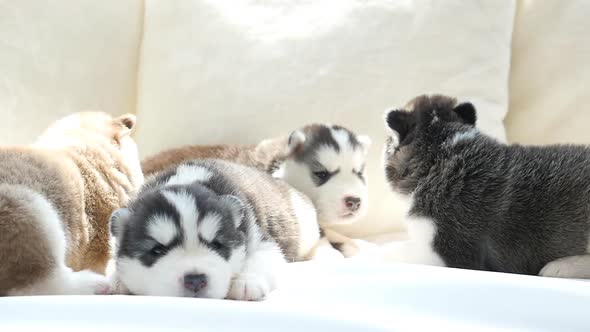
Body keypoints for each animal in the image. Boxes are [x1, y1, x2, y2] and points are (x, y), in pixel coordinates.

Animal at [108, 159, 322, 300]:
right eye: (157, 250)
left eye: (217, 245)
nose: (195, 280)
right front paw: (116, 280)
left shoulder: (264, 241)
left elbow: (262, 258)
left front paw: (246, 281)